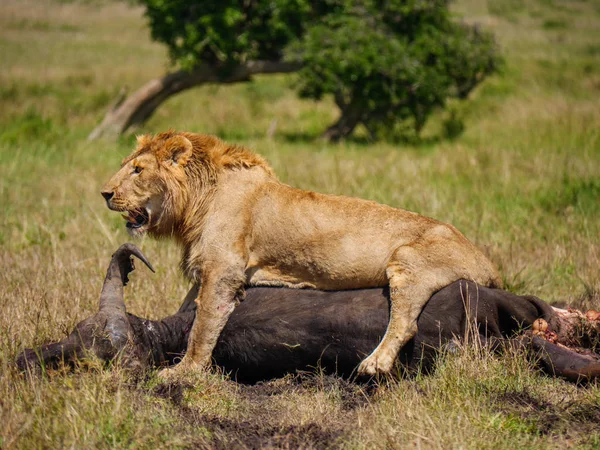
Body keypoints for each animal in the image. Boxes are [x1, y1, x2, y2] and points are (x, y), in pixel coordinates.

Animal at [99, 131, 502, 376]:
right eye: (126, 166)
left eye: (137, 170)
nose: (104, 193)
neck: (196, 201)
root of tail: (488, 263)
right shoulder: (212, 270)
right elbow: (193, 309)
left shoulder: (223, 270)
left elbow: (203, 327)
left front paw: (184, 371)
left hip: (407, 259)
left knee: (406, 323)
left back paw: (374, 364)